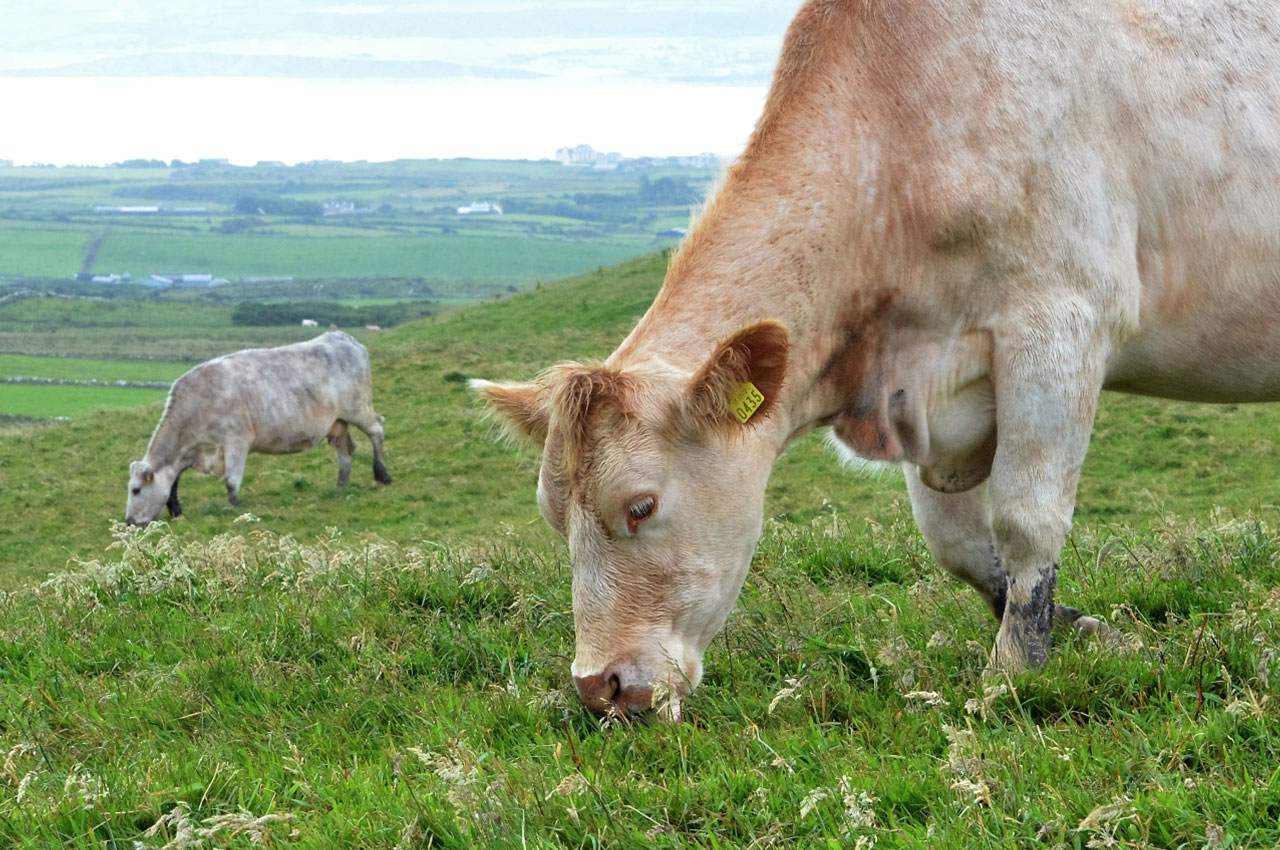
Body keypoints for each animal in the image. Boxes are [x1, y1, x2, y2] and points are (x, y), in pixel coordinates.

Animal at [129, 330, 391, 524]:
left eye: (136, 490)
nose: (129, 522)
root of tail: (342, 337)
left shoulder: (237, 440)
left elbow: (231, 480)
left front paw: (232, 508)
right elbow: (174, 480)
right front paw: (176, 509)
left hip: (358, 407)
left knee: (377, 428)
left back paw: (383, 475)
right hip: (338, 422)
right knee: (345, 450)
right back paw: (340, 486)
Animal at [476, 0, 1280, 716]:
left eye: (640, 506)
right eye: (552, 514)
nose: (598, 687)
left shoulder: (1061, 321)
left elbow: (1026, 521)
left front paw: (1011, 678)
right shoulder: (926, 391)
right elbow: (959, 544)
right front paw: (1086, 630)